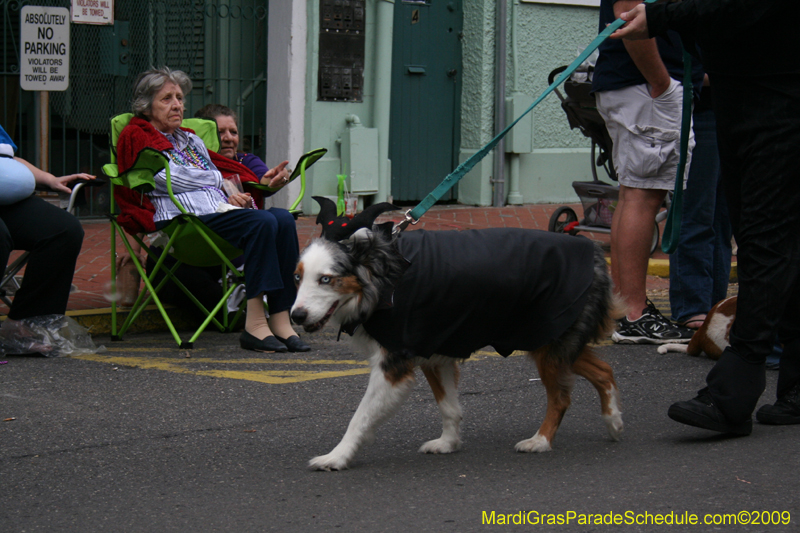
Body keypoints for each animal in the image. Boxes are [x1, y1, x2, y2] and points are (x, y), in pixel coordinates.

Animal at [290, 198, 628, 470]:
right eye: (297, 277)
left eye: (326, 279)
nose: (295, 316)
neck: (383, 274)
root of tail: (594, 253)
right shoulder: (433, 351)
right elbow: (449, 406)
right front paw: (448, 443)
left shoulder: (393, 364)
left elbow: (358, 417)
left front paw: (337, 457)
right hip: (553, 341)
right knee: (604, 370)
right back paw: (613, 422)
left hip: (546, 340)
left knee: (560, 396)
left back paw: (541, 441)